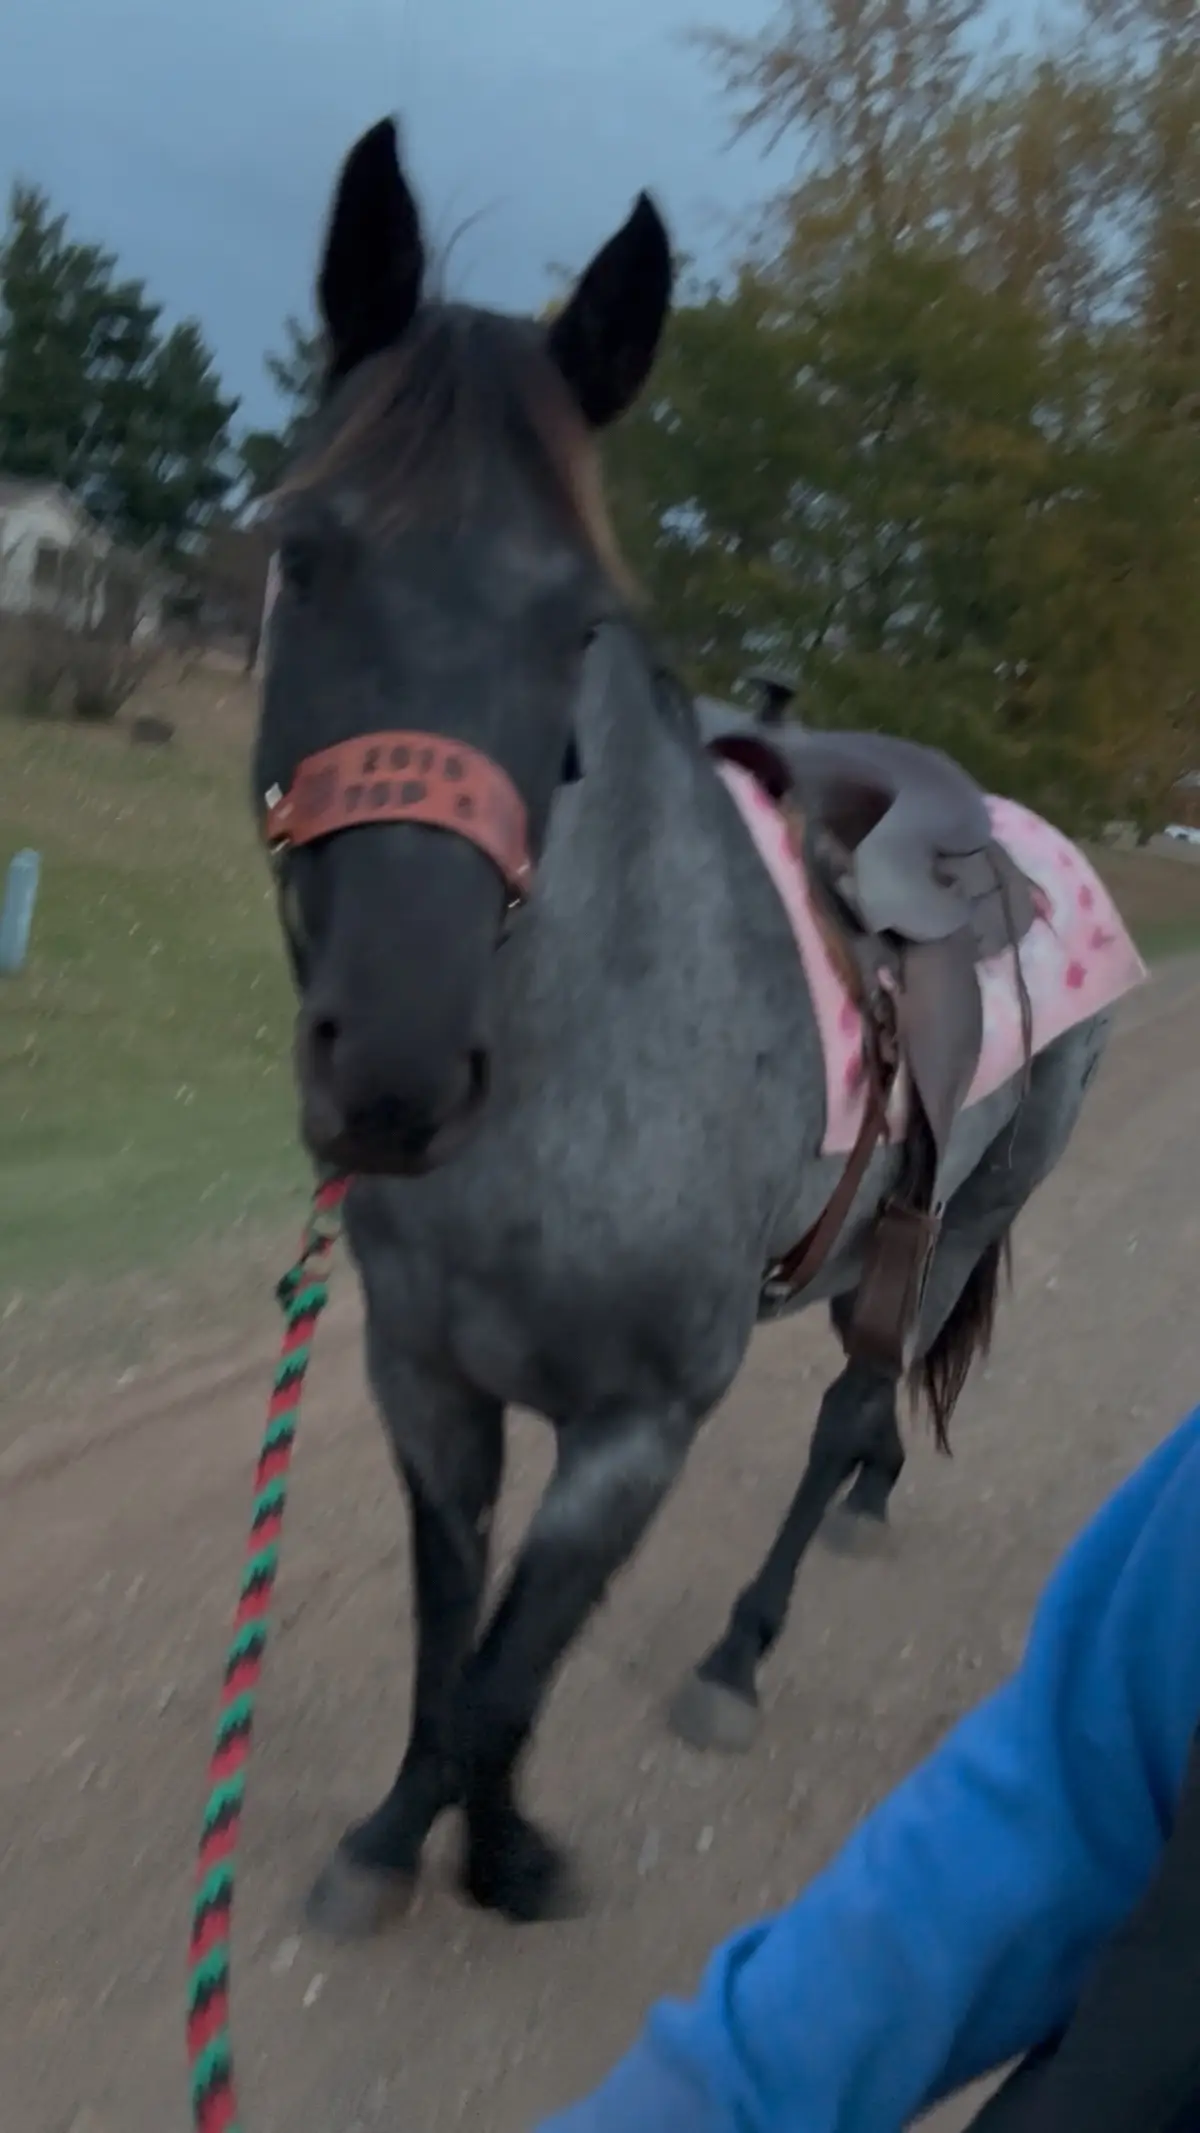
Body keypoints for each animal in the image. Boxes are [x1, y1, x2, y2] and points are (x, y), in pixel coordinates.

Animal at [254, 115, 1133, 1934]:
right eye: (304, 553)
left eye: (577, 621)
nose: (394, 1073)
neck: (579, 1087)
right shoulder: (427, 1389)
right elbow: (451, 1642)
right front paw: (411, 1834)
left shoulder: (641, 1428)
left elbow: (511, 1668)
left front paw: (495, 1851)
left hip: (969, 1210)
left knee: (854, 1406)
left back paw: (742, 1649)